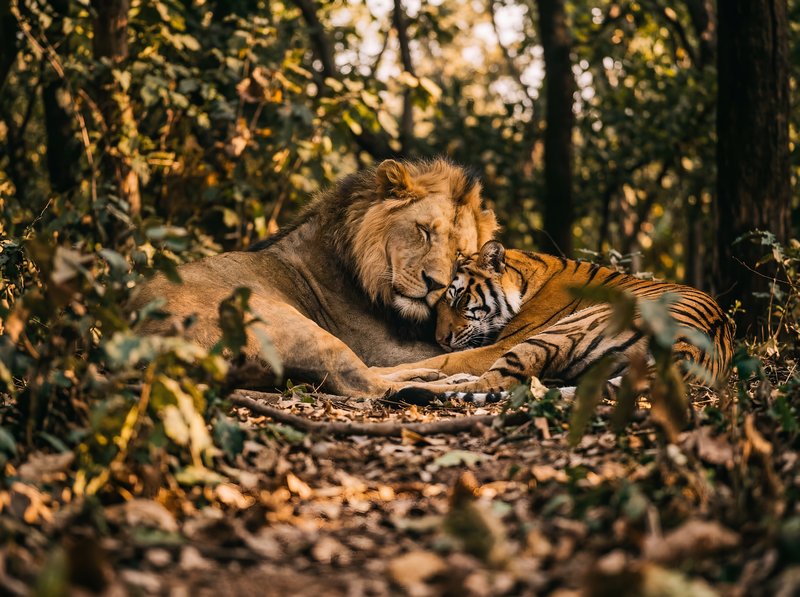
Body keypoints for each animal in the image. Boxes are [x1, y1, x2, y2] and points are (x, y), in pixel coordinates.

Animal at [129, 158, 498, 397]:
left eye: (460, 255)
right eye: (423, 231)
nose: (435, 284)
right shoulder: (381, 347)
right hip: (286, 320)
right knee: (365, 384)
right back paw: (448, 384)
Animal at [388, 240, 734, 405]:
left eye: (458, 299)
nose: (441, 339)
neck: (524, 282)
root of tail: (689, 352)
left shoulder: (505, 342)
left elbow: (444, 359)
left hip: (558, 332)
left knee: (496, 382)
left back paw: (401, 387)